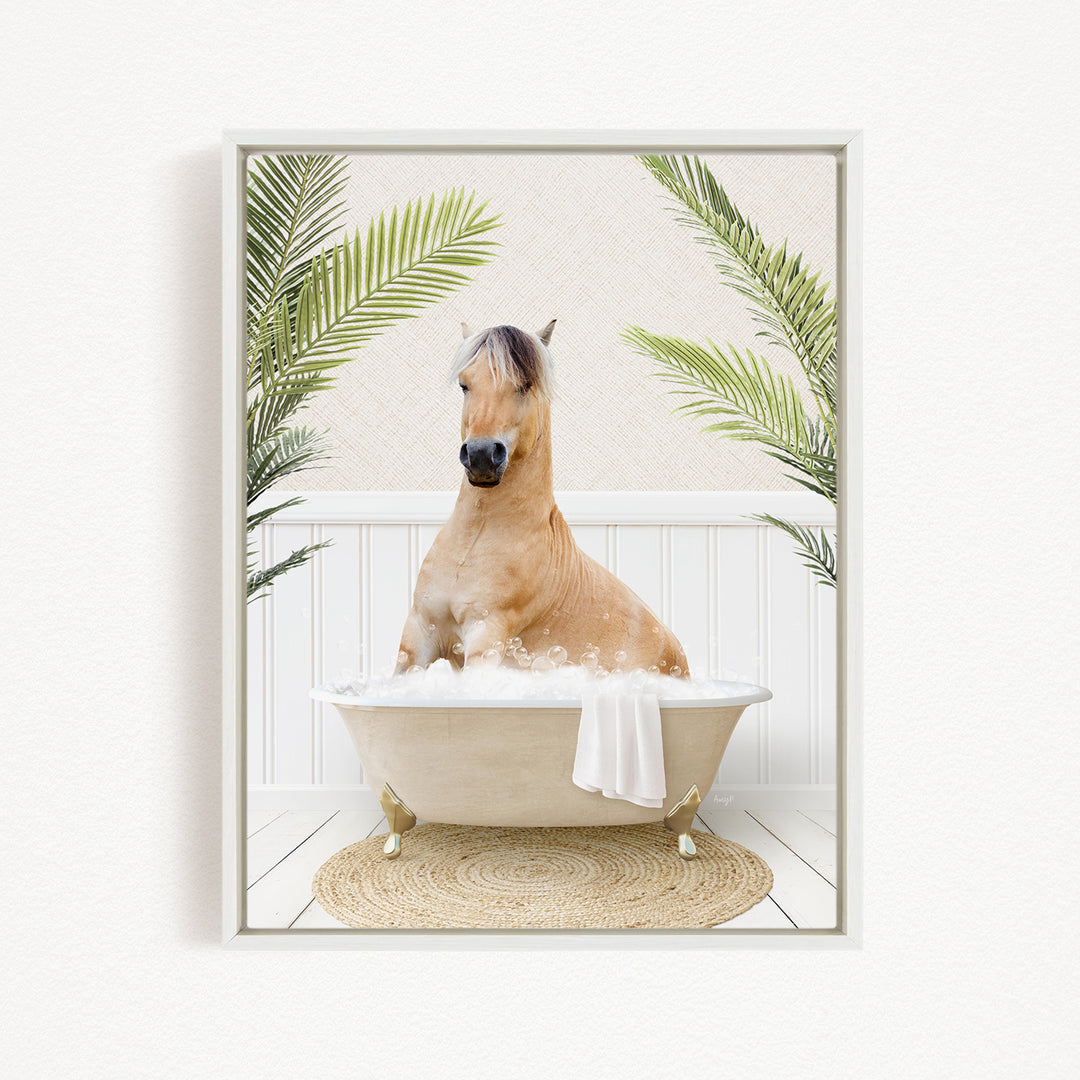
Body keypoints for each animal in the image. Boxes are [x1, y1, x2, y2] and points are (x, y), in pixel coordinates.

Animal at [394, 321, 689, 678]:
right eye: (465, 385)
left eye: (525, 385)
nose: (481, 455)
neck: (474, 541)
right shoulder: (419, 634)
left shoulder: (486, 636)